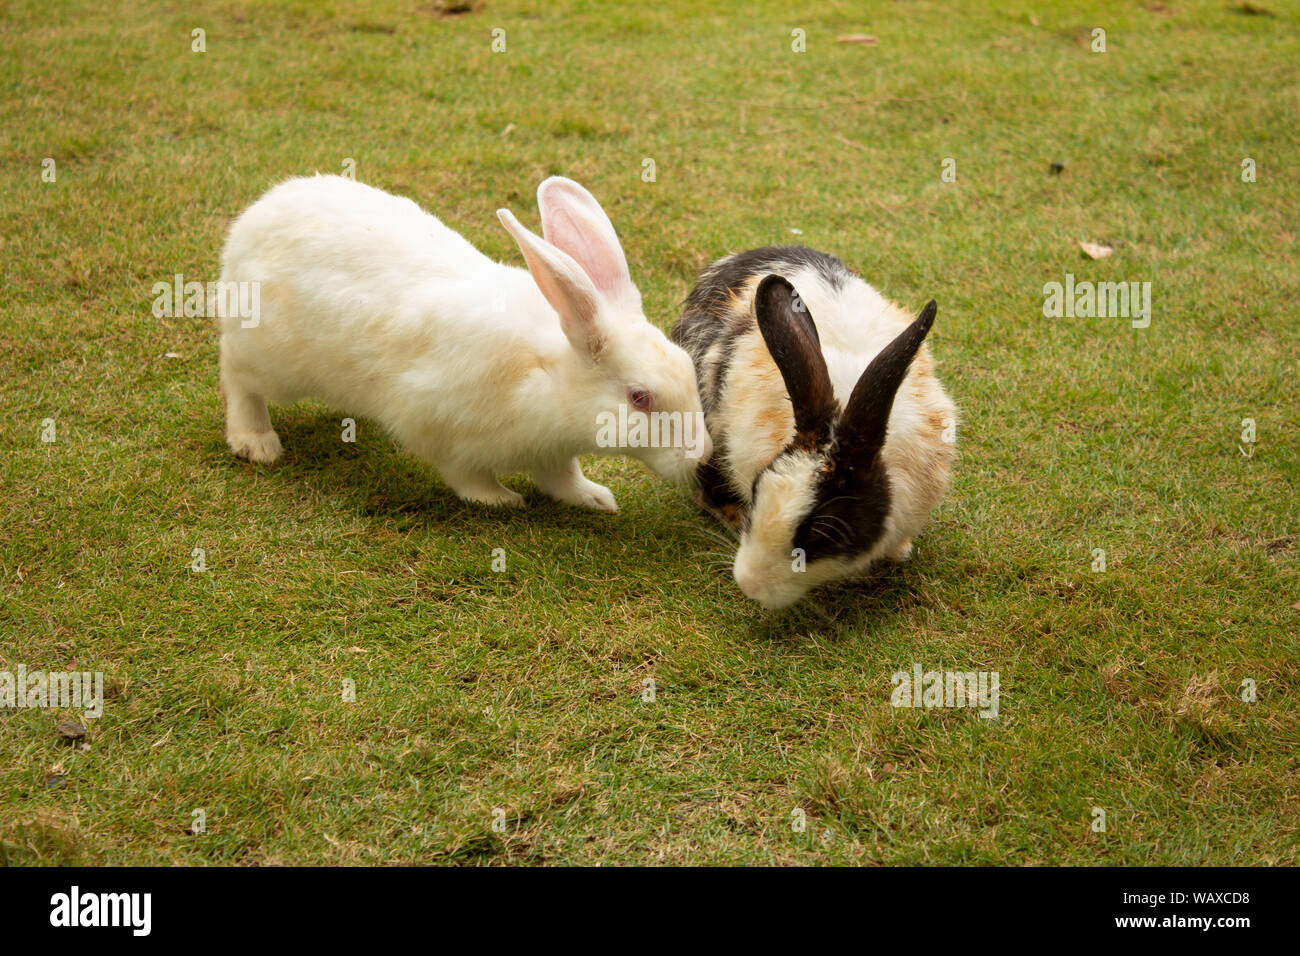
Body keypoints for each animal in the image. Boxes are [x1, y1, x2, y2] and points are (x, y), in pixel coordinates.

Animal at [220, 174, 712, 512]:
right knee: (237, 376)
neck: (546, 376)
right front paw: (502, 500)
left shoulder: (553, 453)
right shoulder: (439, 426)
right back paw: (256, 443)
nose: (702, 456)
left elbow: (562, 479)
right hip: (270, 359)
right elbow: (467, 477)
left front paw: (596, 498)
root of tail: (252, 222)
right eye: (639, 398)